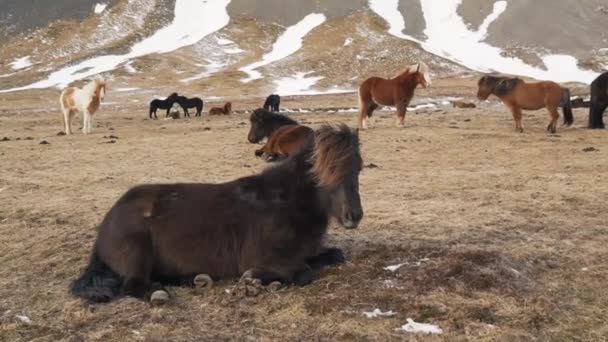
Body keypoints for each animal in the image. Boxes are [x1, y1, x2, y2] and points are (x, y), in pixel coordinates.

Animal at [71, 124, 366, 304]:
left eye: (359, 168)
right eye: (328, 170)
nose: (354, 216)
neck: (286, 202)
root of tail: (107, 221)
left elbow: (333, 255)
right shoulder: (265, 257)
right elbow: (304, 272)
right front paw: (253, 279)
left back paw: (195, 278)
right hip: (137, 249)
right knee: (133, 285)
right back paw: (159, 293)